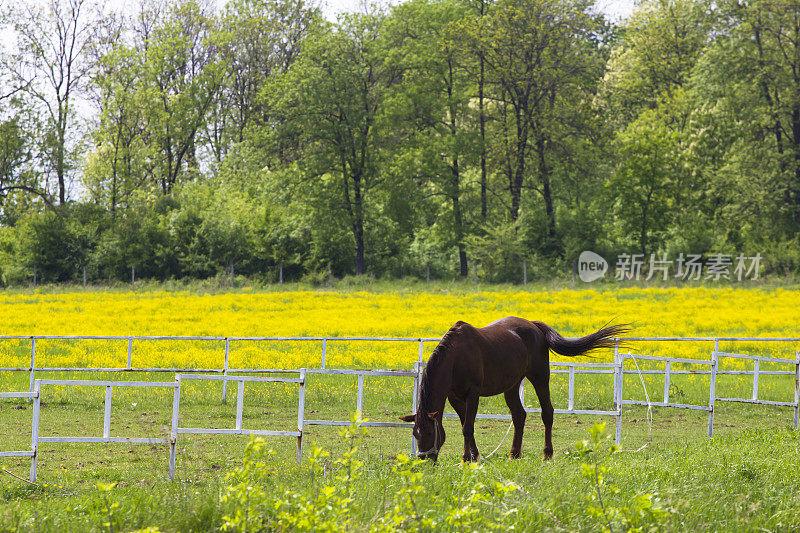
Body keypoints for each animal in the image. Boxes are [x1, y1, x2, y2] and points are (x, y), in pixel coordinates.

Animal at [398, 316, 624, 462]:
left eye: (429, 433)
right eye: (415, 434)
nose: (424, 461)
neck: (455, 357)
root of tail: (534, 326)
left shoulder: (473, 395)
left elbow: (467, 427)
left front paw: (465, 458)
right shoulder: (454, 397)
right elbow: (465, 425)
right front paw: (474, 456)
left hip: (540, 377)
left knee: (547, 413)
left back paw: (547, 454)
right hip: (513, 386)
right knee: (519, 415)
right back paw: (514, 454)